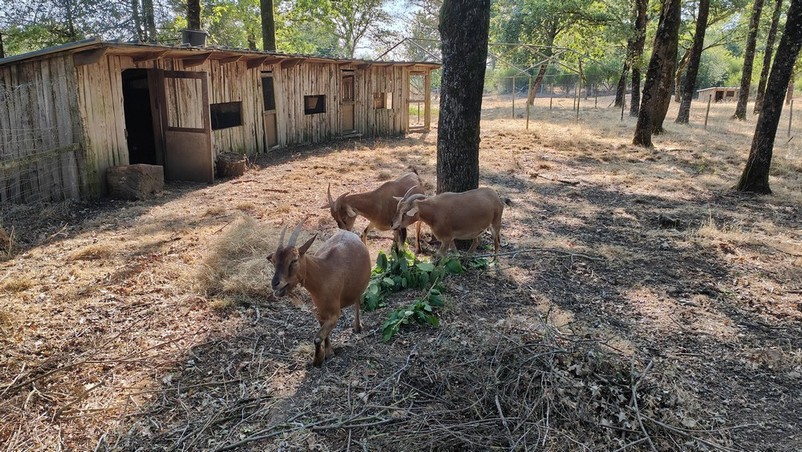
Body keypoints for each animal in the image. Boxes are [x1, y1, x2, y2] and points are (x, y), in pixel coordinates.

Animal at [267, 221, 371, 367]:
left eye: (294, 260)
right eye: (273, 261)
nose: (275, 283)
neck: (323, 273)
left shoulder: (334, 314)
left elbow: (317, 338)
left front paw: (317, 359)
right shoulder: (320, 313)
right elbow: (323, 334)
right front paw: (328, 352)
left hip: (360, 287)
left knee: (357, 301)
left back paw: (357, 327)